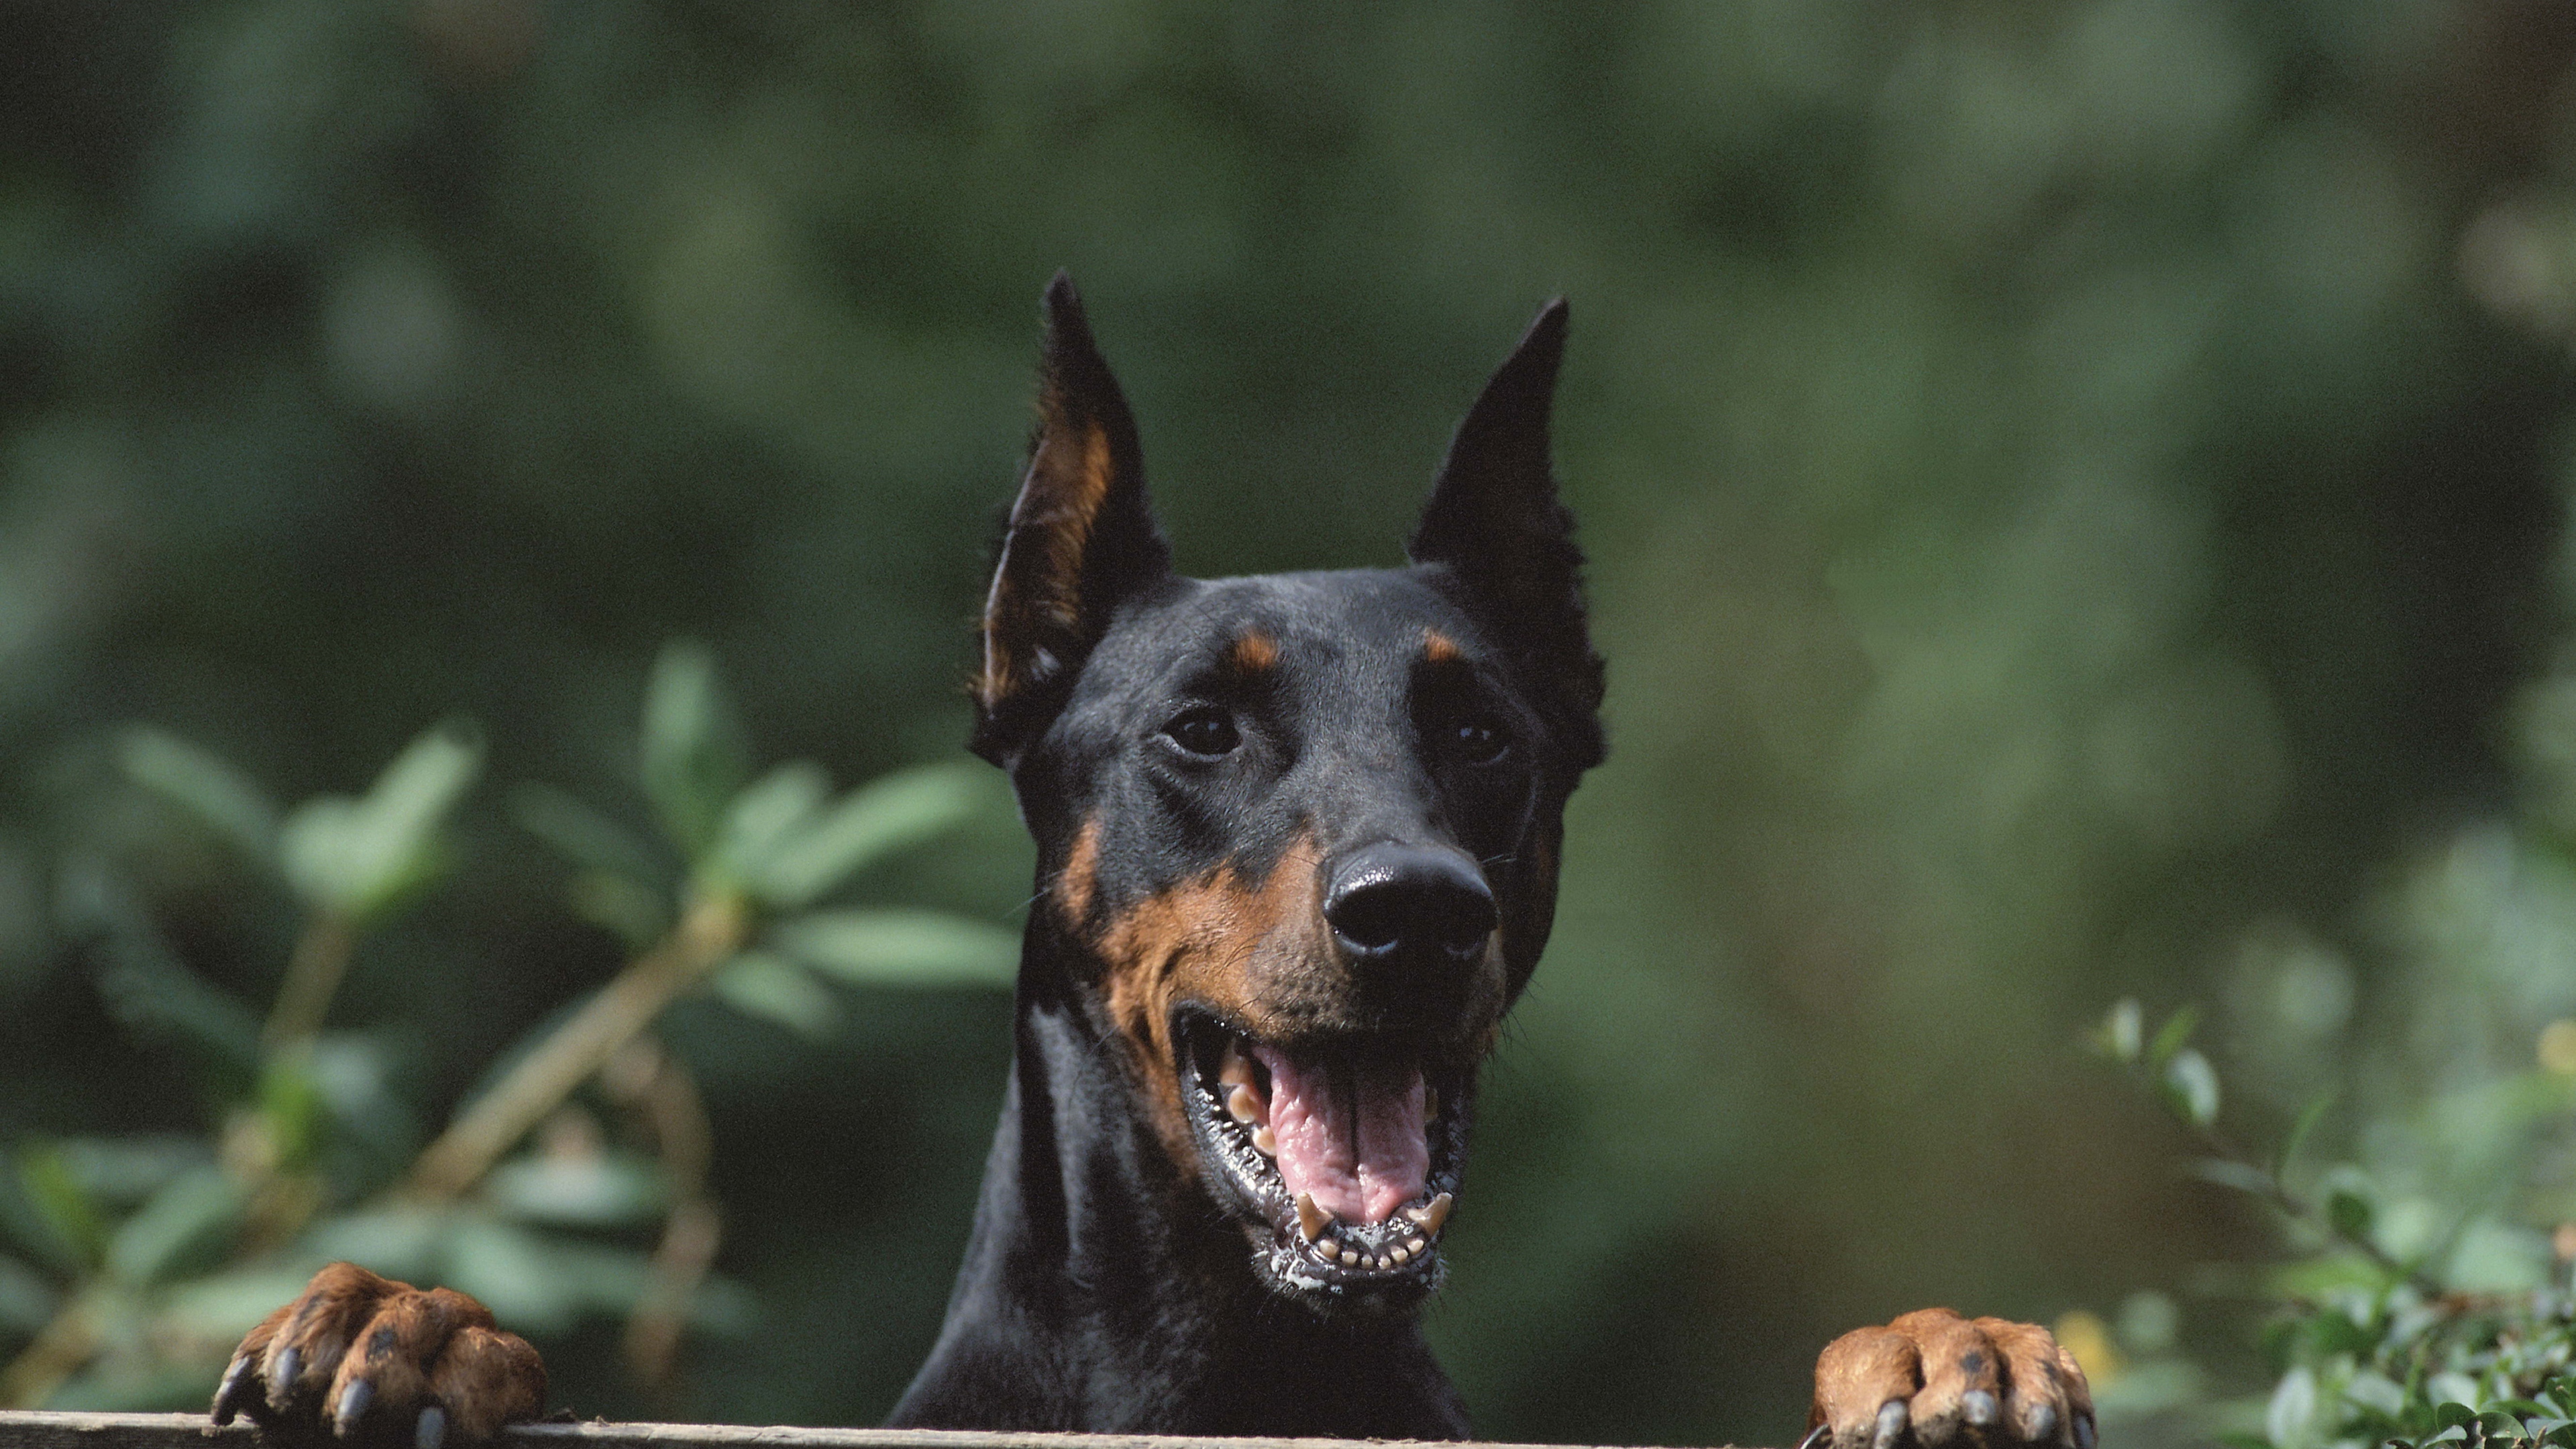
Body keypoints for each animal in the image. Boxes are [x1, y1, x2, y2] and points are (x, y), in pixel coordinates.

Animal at [201, 276, 2092, 1444]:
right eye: (1199, 728)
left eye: (1485, 733)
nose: (1417, 913)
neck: (1222, 1372)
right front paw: (416, 1328)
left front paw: (1940, 1351)